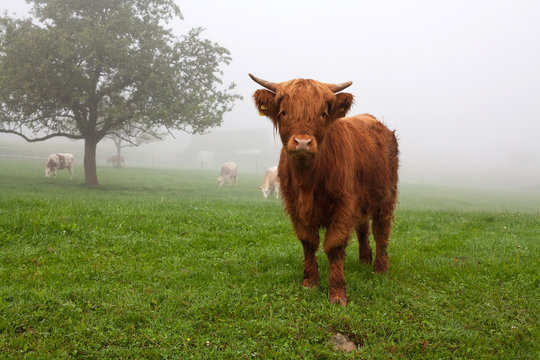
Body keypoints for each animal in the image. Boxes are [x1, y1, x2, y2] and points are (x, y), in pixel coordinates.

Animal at [251, 74, 398, 306]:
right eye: (284, 112)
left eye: (323, 113)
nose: (303, 142)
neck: (308, 181)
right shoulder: (295, 206)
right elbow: (308, 242)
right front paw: (310, 283)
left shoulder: (344, 205)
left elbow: (334, 246)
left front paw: (337, 294)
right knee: (363, 228)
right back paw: (365, 259)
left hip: (386, 196)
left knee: (381, 230)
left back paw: (380, 269)